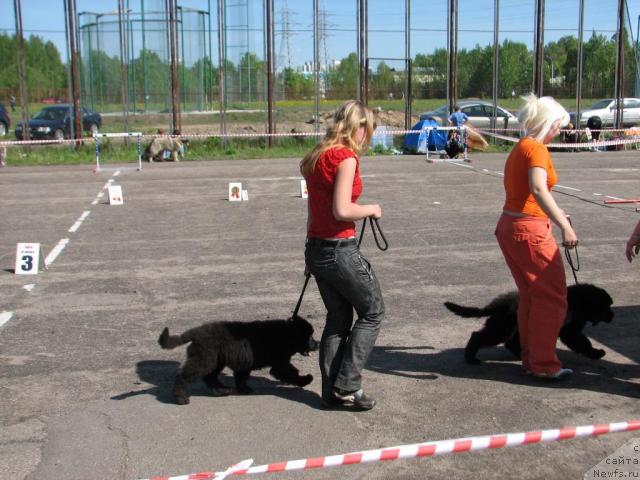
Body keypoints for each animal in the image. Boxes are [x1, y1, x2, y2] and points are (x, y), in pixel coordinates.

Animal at [159, 316, 318, 404]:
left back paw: (221, 390)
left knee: (210, 377)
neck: (286, 334)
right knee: (184, 376)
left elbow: (241, 377)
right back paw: (180, 398)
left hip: (216, 360)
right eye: (309, 336)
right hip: (205, 359)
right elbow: (292, 373)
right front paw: (306, 379)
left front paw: (244, 389)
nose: (317, 344)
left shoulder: (245, 362)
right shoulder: (280, 363)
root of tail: (196, 332)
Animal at [444, 284, 616, 366]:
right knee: (478, 336)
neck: (577, 301)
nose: (613, 316)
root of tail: (500, 304)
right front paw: (597, 353)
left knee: (511, 343)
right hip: (503, 327)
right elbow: (582, 342)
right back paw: (471, 358)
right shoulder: (569, 330)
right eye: (605, 306)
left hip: (514, 326)